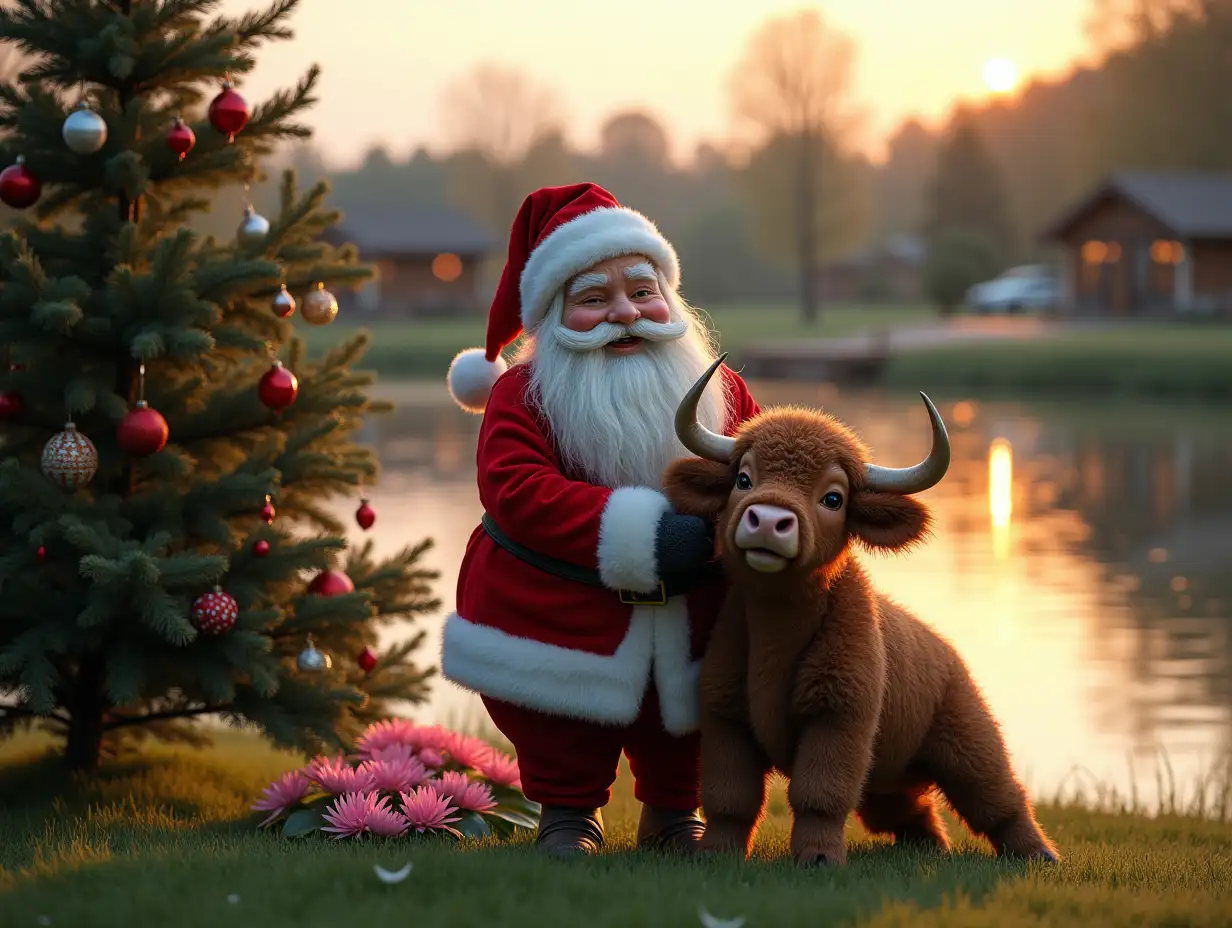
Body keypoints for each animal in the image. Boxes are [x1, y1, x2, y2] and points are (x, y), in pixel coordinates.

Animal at [665, 357, 1059, 867]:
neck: (777, 633)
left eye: (833, 498)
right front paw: (715, 853)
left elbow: (821, 794)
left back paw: (1040, 854)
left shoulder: (840, 719)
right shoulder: (725, 717)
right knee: (912, 812)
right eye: (743, 479)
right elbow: (729, 797)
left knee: (1000, 799)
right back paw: (929, 848)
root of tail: (947, 654)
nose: (768, 521)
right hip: (888, 782)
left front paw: (818, 858)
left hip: (970, 743)